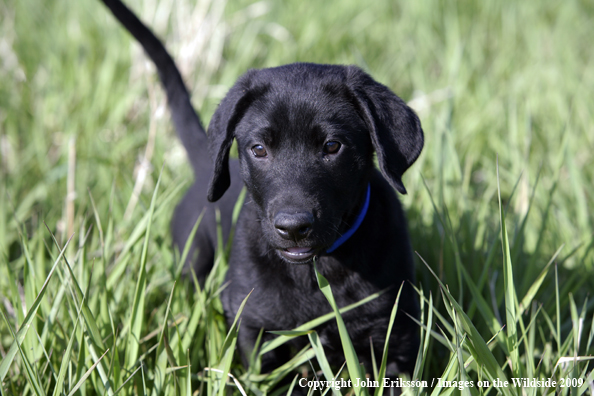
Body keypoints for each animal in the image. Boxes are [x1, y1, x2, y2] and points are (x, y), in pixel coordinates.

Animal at [100, 0, 420, 380]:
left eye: (332, 146)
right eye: (259, 149)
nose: (294, 227)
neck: (314, 273)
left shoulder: (395, 337)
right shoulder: (256, 331)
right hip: (192, 257)